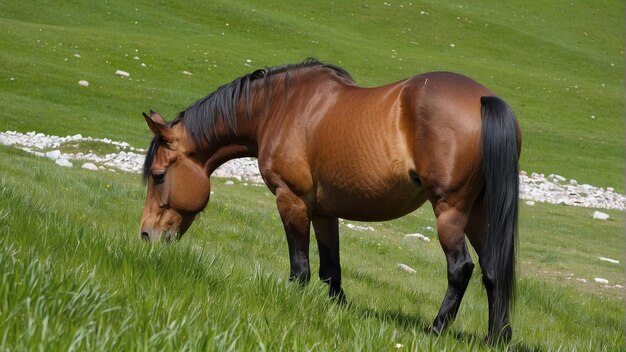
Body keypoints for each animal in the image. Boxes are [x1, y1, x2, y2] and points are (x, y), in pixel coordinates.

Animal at [139, 59, 520, 342]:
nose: (146, 235)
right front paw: (337, 312)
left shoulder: (291, 200)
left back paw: (436, 329)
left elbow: (300, 267)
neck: (280, 108)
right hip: (479, 213)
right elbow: (330, 269)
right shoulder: (324, 211)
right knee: (493, 269)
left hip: (450, 211)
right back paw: (496, 337)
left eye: (158, 175)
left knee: (461, 268)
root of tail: (483, 99)